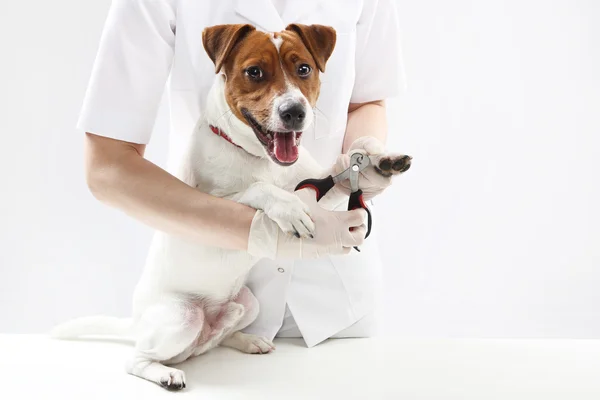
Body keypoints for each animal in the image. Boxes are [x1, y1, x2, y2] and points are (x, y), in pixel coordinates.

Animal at [51, 23, 410, 390]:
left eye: (303, 69)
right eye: (254, 72)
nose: (294, 112)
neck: (261, 159)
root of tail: (138, 322)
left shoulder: (316, 186)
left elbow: (339, 175)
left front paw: (378, 162)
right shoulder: (209, 202)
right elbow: (258, 189)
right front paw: (288, 208)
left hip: (249, 304)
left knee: (217, 337)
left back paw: (247, 340)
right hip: (181, 317)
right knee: (137, 358)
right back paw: (165, 373)